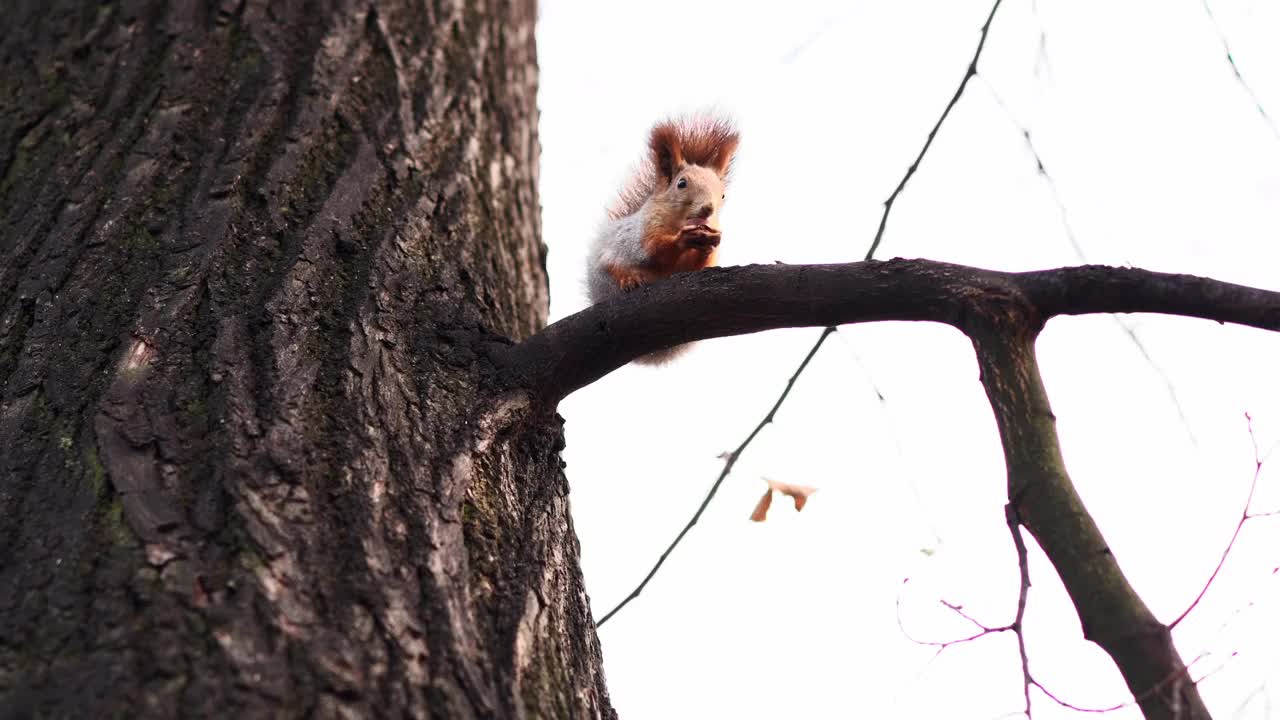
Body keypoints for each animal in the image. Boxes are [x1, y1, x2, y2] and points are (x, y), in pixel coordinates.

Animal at [586, 116, 742, 363]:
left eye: (723, 194)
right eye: (681, 183)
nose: (708, 209)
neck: (680, 222)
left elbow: (698, 266)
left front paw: (709, 244)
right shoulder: (645, 231)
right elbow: (655, 249)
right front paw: (683, 239)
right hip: (607, 263)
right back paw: (629, 279)